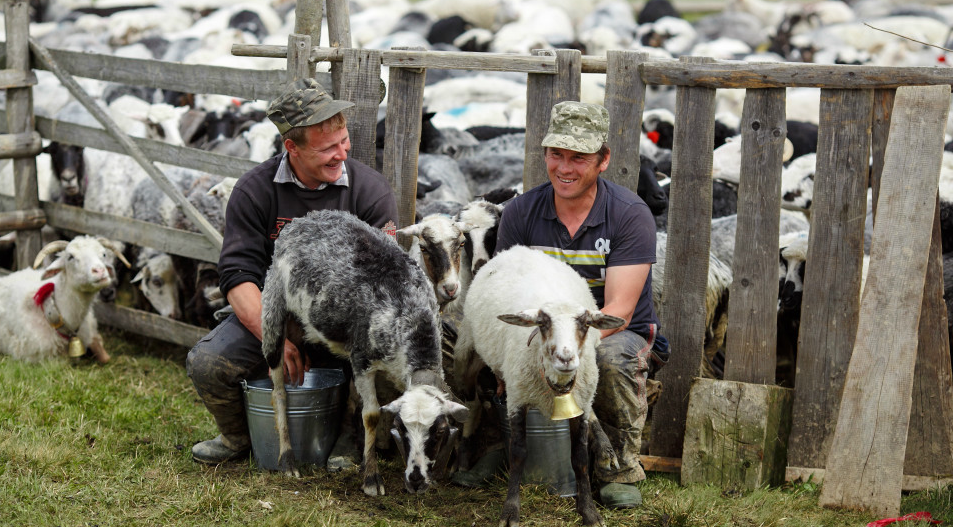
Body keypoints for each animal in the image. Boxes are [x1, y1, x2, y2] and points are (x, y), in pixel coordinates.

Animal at [260, 208, 468, 498]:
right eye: (400, 428)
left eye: (438, 431)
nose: (415, 479)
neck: (411, 316)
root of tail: (308, 217)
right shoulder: (362, 360)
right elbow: (371, 415)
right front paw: (371, 477)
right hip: (273, 308)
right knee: (278, 391)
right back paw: (287, 460)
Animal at [454, 248, 624, 527]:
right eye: (543, 323)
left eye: (585, 324)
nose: (566, 358)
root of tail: (517, 249)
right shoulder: (517, 400)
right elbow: (518, 453)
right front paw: (510, 512)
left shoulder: (580, 401)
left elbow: (579, 457)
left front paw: (589, 510)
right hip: (467, 352)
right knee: (472, 403)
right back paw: (464, 454)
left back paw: (605, 449)